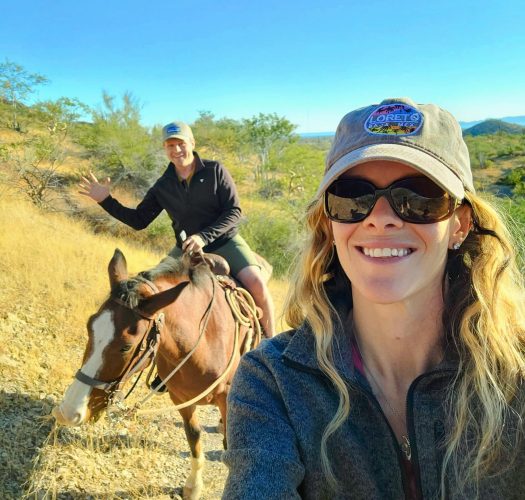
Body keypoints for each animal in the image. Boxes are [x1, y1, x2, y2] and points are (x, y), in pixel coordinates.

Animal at [52, 248, 260, 498]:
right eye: (89, 326)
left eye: (126, 346)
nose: (67, 412)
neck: (203, 343)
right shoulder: (180, 398)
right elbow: (194, 436)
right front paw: (193, 486)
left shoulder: (227, 397)